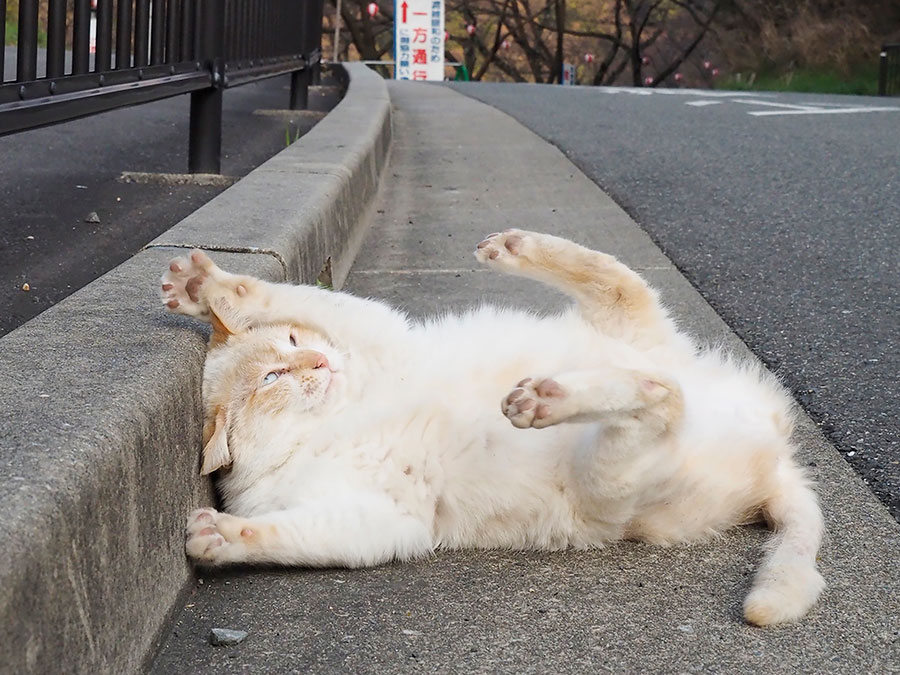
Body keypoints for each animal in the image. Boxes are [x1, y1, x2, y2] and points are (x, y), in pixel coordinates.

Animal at [160, 230, 824, 624]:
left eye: (298, 345)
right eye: (273, 377)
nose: (321, 365)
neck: (333, 418)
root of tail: (777, 456)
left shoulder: (377, 333)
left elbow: (284, 295)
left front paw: (206, 289)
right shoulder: (383, 518)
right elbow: (288, 533)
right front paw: (220, 536)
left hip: (625, 374)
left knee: (625, 299)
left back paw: (519, 267)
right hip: (613, 476)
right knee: (661, 395)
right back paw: (549, 395)